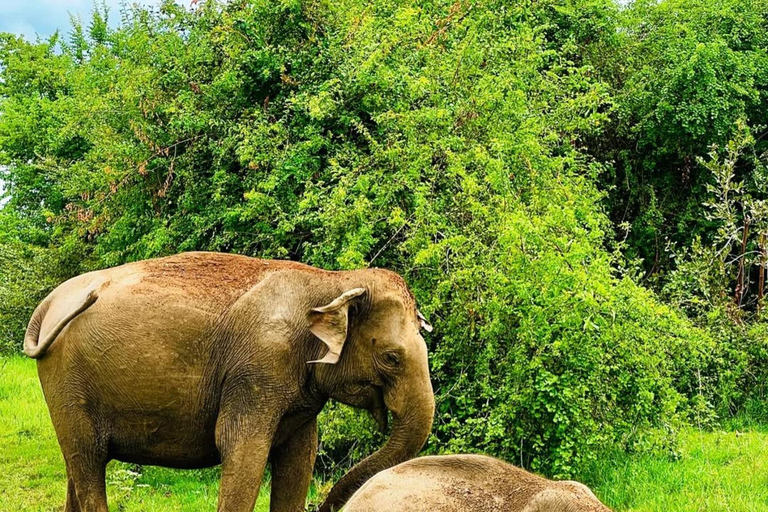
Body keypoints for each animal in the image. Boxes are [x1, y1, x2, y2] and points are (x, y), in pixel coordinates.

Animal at [23, 252, 435, 512]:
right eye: (391, 358)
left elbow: (299, 457)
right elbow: (242, 451)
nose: (325, 505)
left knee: (77, 465)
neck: (331, 281)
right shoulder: (256, 370)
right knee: (88, 461)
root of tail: (47, 305)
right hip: (65, 380)